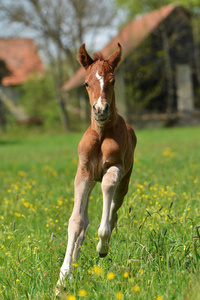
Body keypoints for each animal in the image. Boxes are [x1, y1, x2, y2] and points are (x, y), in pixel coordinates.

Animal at [57, 43, 137, 290]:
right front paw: (63, 278)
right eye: (86, 83)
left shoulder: (115, 167)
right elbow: (76, 222)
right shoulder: (83, 173)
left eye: (113, 81)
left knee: (114, 209)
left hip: (125, 182)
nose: (100, 110)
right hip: (92, 180)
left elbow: (108, 189)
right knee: (85, 220)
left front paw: (102, 246)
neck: (101, 135)